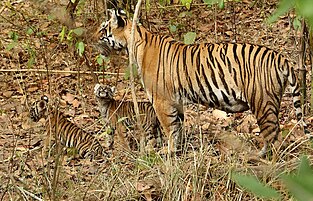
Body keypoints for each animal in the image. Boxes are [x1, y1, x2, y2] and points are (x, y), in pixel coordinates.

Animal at [96, 8, 308, 156]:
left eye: (103, 28)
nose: (93, 37)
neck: (133, 42)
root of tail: (280, 57)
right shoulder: (176, 102)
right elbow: (178, 127)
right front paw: (178, 150)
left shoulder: (161, 101)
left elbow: (169, 128)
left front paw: (168, 152)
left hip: (262, 102)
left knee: (274, 137)